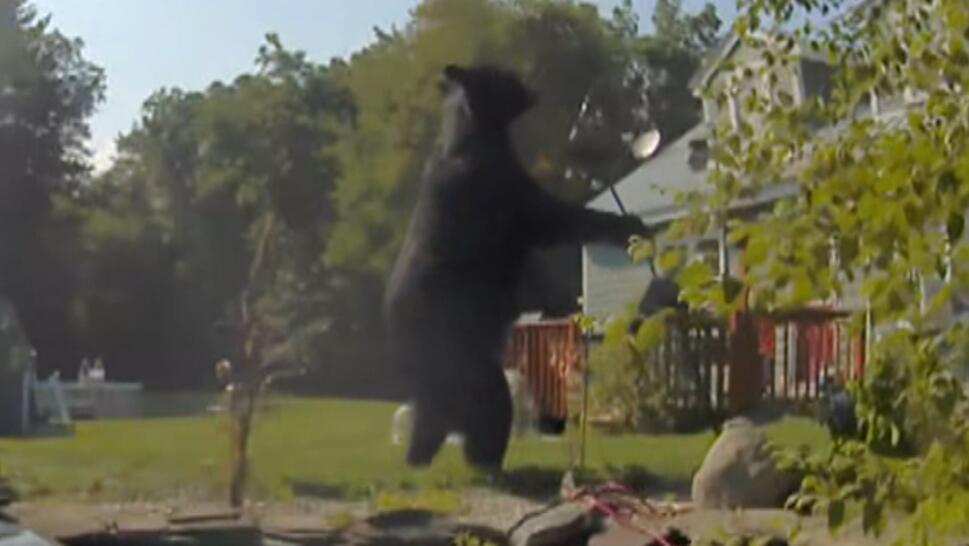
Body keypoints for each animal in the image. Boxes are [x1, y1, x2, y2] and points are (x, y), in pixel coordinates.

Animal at [383, 63, 651, 470]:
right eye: (498, 73)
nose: (526, 82)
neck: (475, 137)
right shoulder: (507, 189)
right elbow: (556, 218)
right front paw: (628, 225)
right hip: (464, 356)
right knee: (489, 410)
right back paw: (486, 463)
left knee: (431, 424)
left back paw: (423, 459)